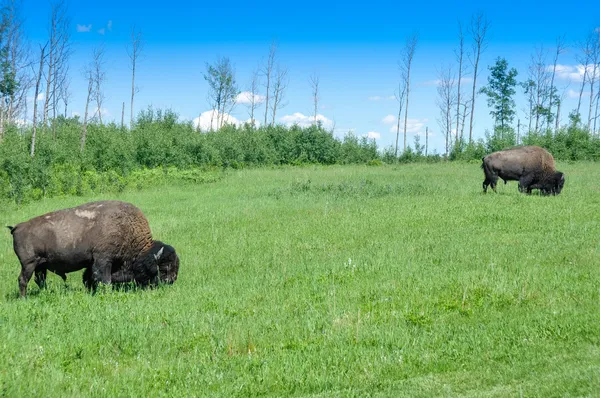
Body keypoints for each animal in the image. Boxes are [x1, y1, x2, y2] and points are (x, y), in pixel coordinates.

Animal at [5, 201, 179, 296]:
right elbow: (104, 279)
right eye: (163, 269)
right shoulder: (103, 260)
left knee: (39, 280)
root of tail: (17, 227)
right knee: (23, 280)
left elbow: (89, 277)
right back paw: (24, 298)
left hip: (41, 265)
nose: (171, 282)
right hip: (29, 264)